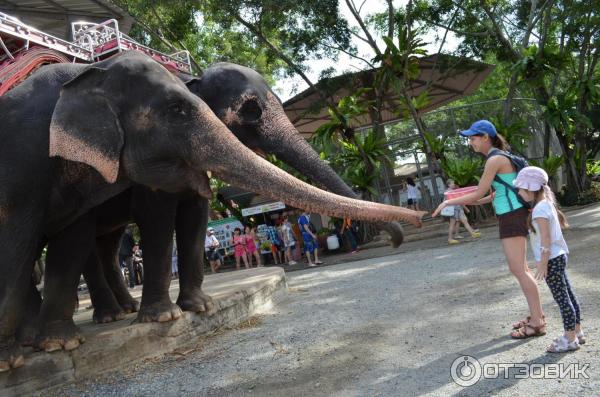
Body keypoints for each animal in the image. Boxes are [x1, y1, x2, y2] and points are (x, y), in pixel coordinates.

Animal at [0, 51, 422, 370]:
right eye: (251, 110)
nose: (402, 237)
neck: (188, 76)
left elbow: (196, 215)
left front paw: (198, 307)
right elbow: (157, 218)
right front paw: (164, 317)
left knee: (102, 244)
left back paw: (116, 313)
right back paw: (84, 324)